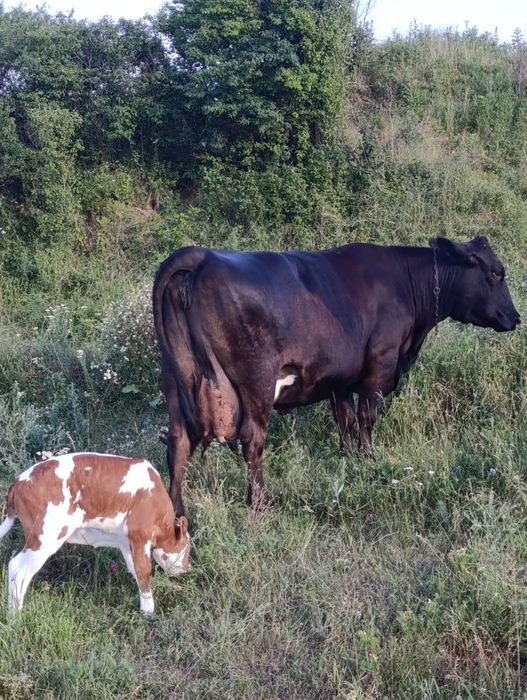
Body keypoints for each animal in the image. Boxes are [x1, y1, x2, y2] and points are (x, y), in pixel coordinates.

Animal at [0, 453, 190, 615]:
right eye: (187, 549)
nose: (187, 569)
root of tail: (19, 480)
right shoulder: (140, 536)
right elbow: (144, 572)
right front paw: (148, 612)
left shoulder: (126, 541)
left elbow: (135, 569)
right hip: (44, 538)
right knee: (18, 568)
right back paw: (16, 617)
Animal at [152, 236, 520, 517]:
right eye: (496, 273)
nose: (515, 317)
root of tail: (202, 255)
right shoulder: (378, 368)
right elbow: (367, 418)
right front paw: (368, 459)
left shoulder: (340, 378)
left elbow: (345, 419)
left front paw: (346, 458)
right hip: (257, 381)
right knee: (252, 440)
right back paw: (260, 503)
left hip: (174, 380)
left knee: (178, 444)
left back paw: (175, 513)